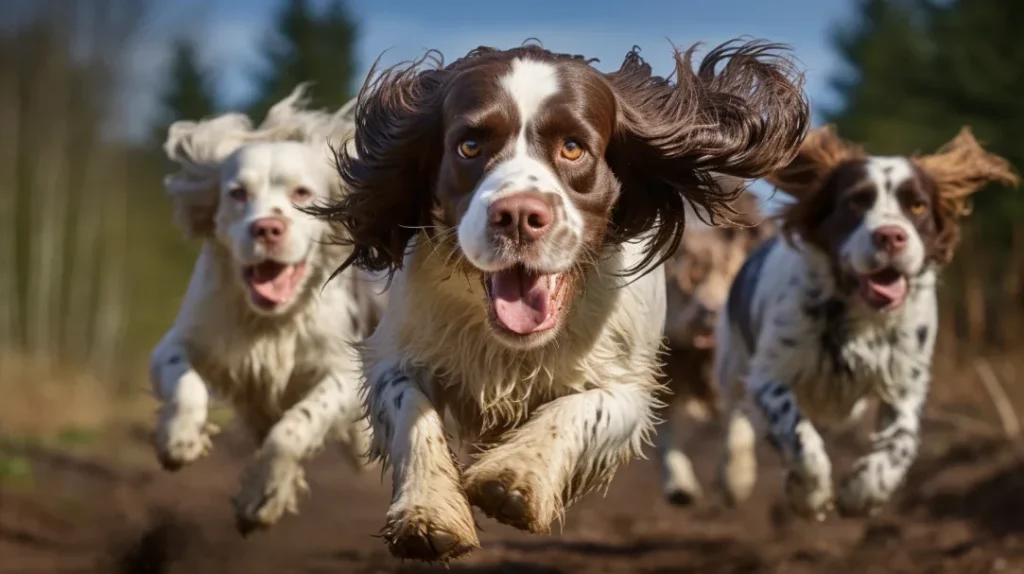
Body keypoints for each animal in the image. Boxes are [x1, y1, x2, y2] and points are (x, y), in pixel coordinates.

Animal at [146, 87, 382, 536]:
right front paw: (180, 439)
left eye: (302, 194)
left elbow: (296, 426)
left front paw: (263, 496)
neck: (270, 322)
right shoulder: (180, 341)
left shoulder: (340, 372)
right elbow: (187, 385)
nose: (267, 228)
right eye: (238, 193)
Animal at [716, 125, 1019, 519]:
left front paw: (864, 491)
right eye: (855, 203)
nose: (891, 236)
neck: (861, 315)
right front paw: (809, 493)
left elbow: (900, 442)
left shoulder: (905, 382)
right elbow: (799, 436)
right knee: (734, 417)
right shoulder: (770, 376)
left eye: (917, 205)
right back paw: (735, 477)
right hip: (731, 360)